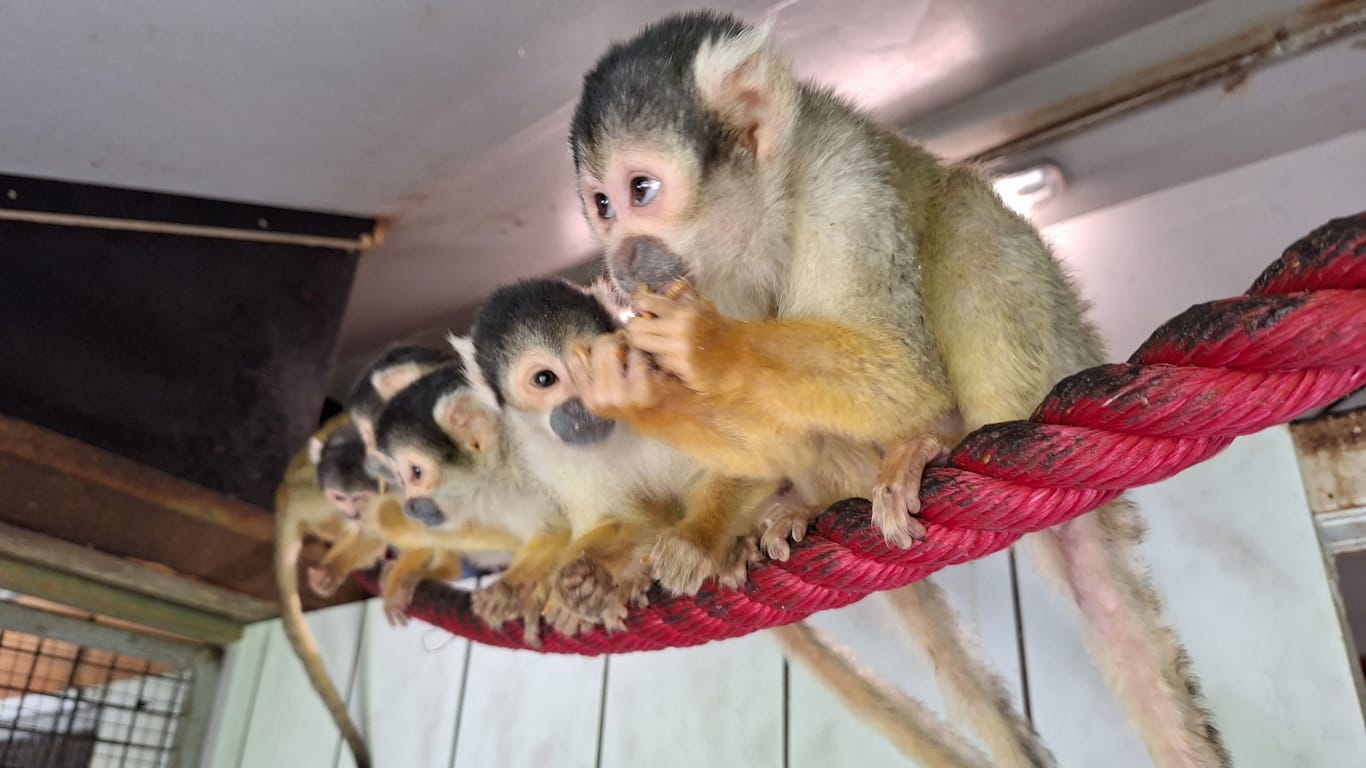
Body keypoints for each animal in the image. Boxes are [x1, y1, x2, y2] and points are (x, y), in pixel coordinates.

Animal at [565, 11, 1229, 765]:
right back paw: (814, 506)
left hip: (1061, 348)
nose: (622, 264)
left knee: (965, 218)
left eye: (641, 191)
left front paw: (703, 345)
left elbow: (903, 372)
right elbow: (765, 437)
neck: (762, 218)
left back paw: (946, 443)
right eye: (602, 205)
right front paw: (656, 430)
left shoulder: (841, 178)